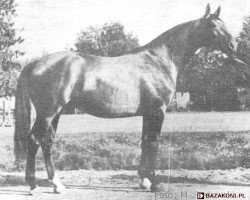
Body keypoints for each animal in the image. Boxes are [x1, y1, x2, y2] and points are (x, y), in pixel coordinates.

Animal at [14, 4, 241, 194]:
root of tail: (33, 64)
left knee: (46, 143)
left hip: (55, 113)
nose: (233, 45)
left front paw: (144, 180)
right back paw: (33, 184)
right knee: (34, 140)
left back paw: (56, 184)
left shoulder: (148, 114)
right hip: (48, 112)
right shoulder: (158, 111)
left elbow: (144, 143)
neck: (159, 60)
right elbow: (154, 144)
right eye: (213, 25)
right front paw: (154, 183)